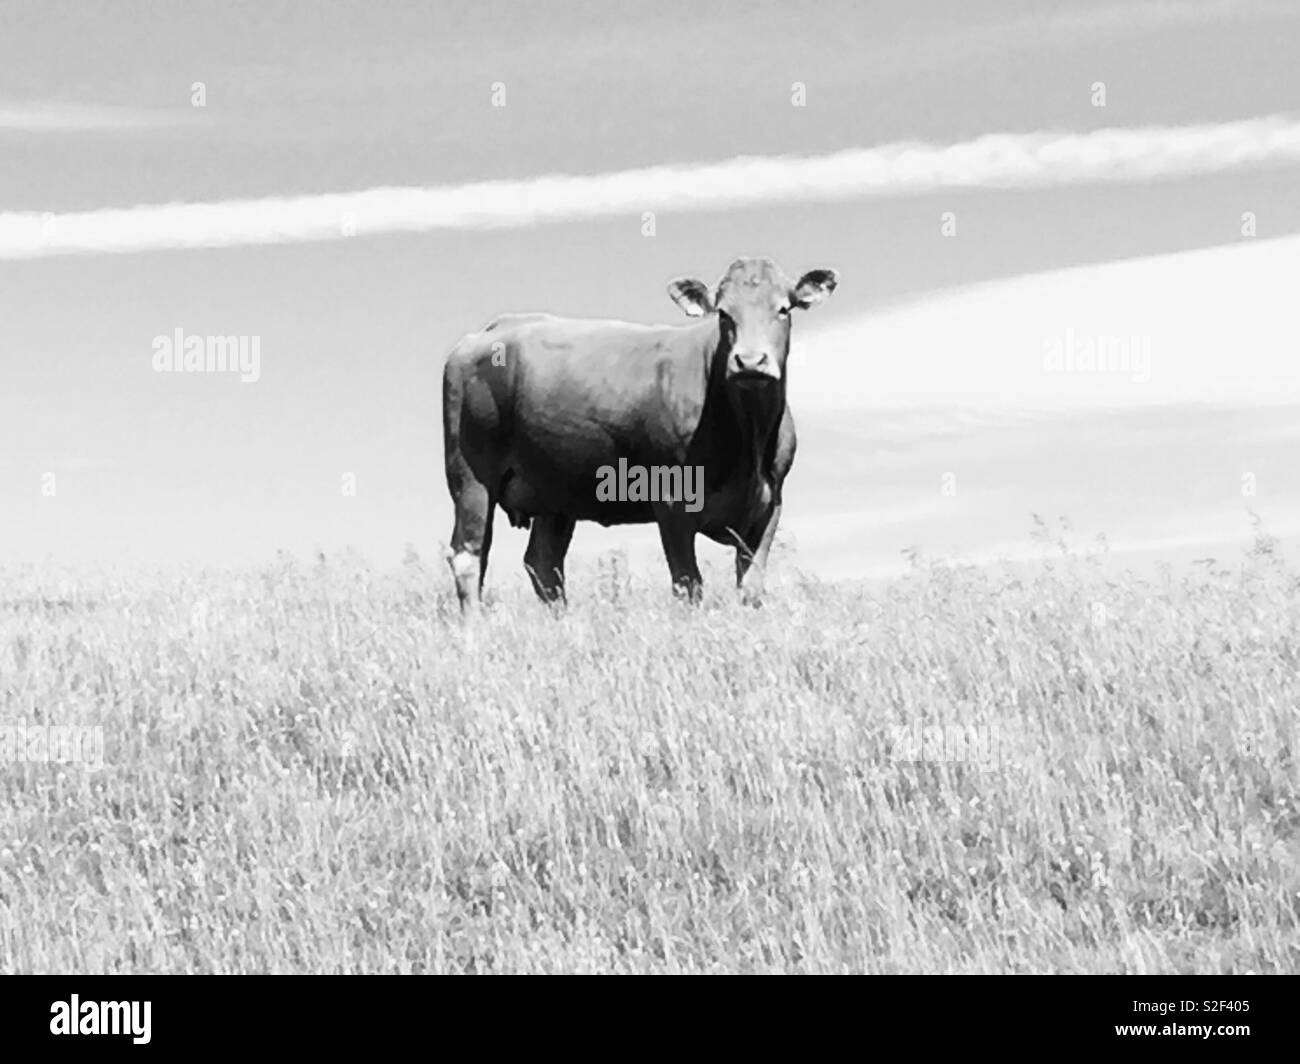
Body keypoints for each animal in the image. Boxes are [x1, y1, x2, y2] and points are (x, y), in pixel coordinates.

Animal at [441, 257, 838, 610]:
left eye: (783, 309)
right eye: (724, 314)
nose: (750, 362)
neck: (748, 436)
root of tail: (490, 331)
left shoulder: (770, 505)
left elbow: (751, 587)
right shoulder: (672, 502)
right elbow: (687, 584)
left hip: (556, 489)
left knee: (543, 564)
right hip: (471, 474)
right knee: (469, 556)